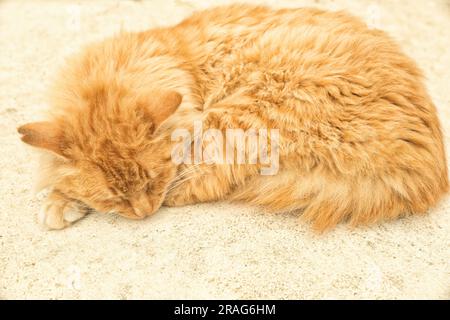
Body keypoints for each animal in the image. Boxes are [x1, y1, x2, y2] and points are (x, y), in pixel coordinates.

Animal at [17, 3, 446, 231]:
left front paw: (61, 200)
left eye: (152, 181)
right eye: (113, 196)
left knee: (212, 182)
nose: (143, 213)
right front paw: (61, 198)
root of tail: (429, 172)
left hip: (243, 113)